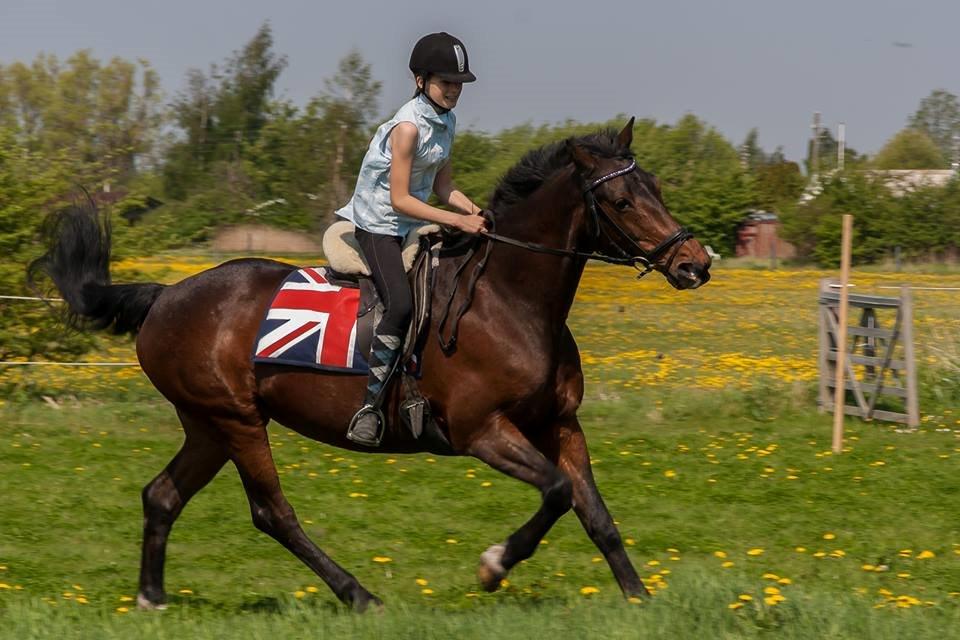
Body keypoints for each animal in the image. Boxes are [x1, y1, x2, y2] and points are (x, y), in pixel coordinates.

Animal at [30, 117, 708, 612]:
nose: (694, 263)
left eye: (656, 188)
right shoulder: (481, 431)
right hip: (237, 421)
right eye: (620, 200)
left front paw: (639, 597)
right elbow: (559, 492)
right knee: (272, 513)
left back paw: (152, 597)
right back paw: (359, 594)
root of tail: (166, 295)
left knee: (163, 494)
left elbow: (595, 513)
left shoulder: (561, 424)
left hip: (209, 425)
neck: (510, 300)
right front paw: (492, 567)